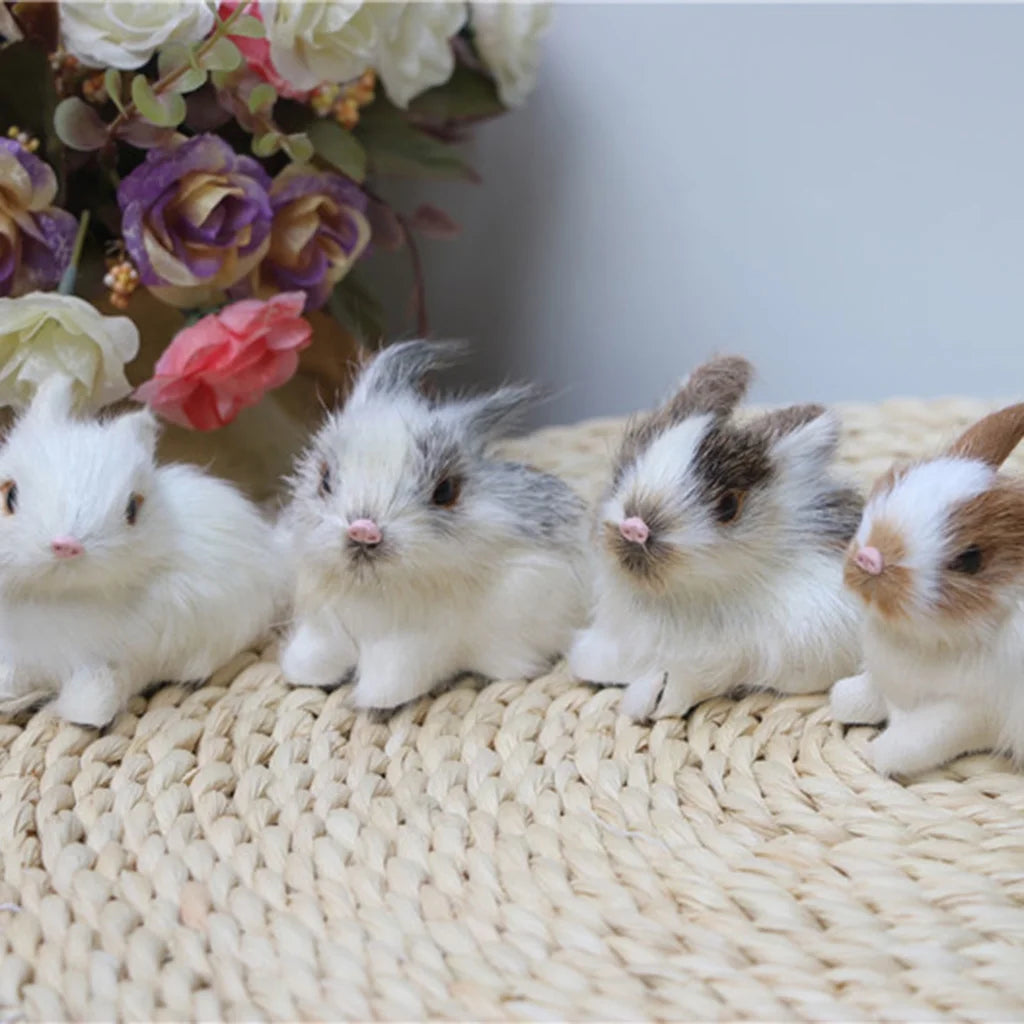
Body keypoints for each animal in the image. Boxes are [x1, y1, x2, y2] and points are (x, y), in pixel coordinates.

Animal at [0, 375, 284, 727]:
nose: (65, 545)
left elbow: (94, 700)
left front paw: (68, 711)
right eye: (9, 495)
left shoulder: (111, 664)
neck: (54, 598)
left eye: (132, 509)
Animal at [278, 339, 590, 710]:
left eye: (445, 491)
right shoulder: (323, 628)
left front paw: (369, 700)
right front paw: (305, 676)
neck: (371, 594)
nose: (363, 530)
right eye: (324, 479)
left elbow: (390, 680)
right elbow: (314, 659)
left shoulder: (413, 646)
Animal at [832, 402, 1024, 777]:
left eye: (970, 559)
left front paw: (872, 755)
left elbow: (913, 743)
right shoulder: (886, 683)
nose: (869, 558)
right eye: (896, 482)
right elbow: (859, 697)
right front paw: (842, 702)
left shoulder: (968, 712)